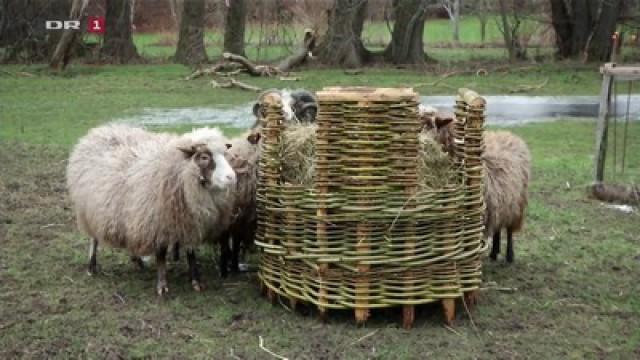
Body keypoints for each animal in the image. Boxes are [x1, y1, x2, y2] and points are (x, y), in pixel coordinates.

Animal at [66, 124, 236, 296]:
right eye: (204, 157)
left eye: (225, 154)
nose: (232, 177)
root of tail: (100, 130)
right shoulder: (157, 223)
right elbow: (160, 255)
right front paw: (162, 285)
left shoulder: (188, 223)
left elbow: (191, 253)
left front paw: (196, 281)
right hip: (89, 209)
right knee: (93, 239)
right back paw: (91, 266)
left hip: (128, 214)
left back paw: (137, 261)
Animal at [418, 107, 532, 262]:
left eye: (427, 126)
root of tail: (509, 134)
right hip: (500, 203)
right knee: (497, 227)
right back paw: (494, 252)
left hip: (517, 204)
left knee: (509, 230)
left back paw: (509, 255)